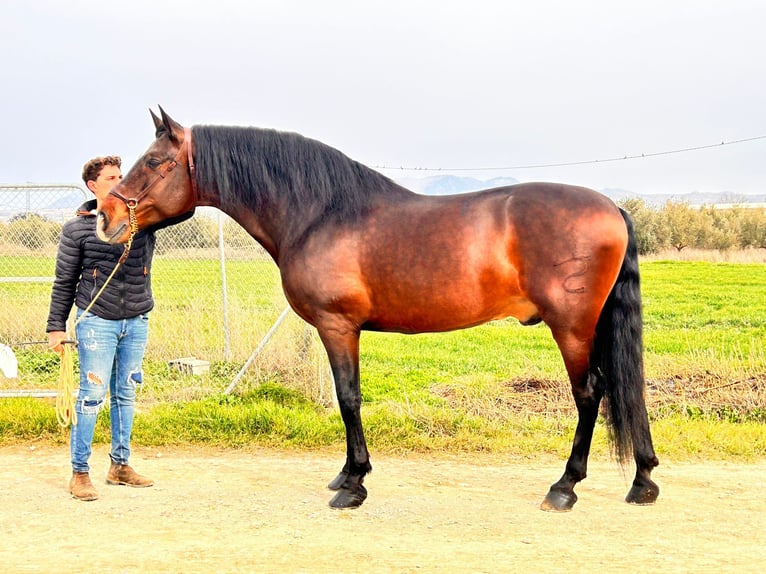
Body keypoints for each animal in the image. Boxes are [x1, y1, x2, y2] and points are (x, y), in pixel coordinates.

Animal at [96, 108, 660, 512]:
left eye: (155, 162)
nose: (106, 216)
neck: (320, 213)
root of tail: (612, 208)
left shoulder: (338, 327)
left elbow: (349, 399)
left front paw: (353, 485)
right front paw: (348, 476)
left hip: (572, 327)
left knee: (590, 395)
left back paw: (564, 487)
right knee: (623, 390)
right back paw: (643, 480)